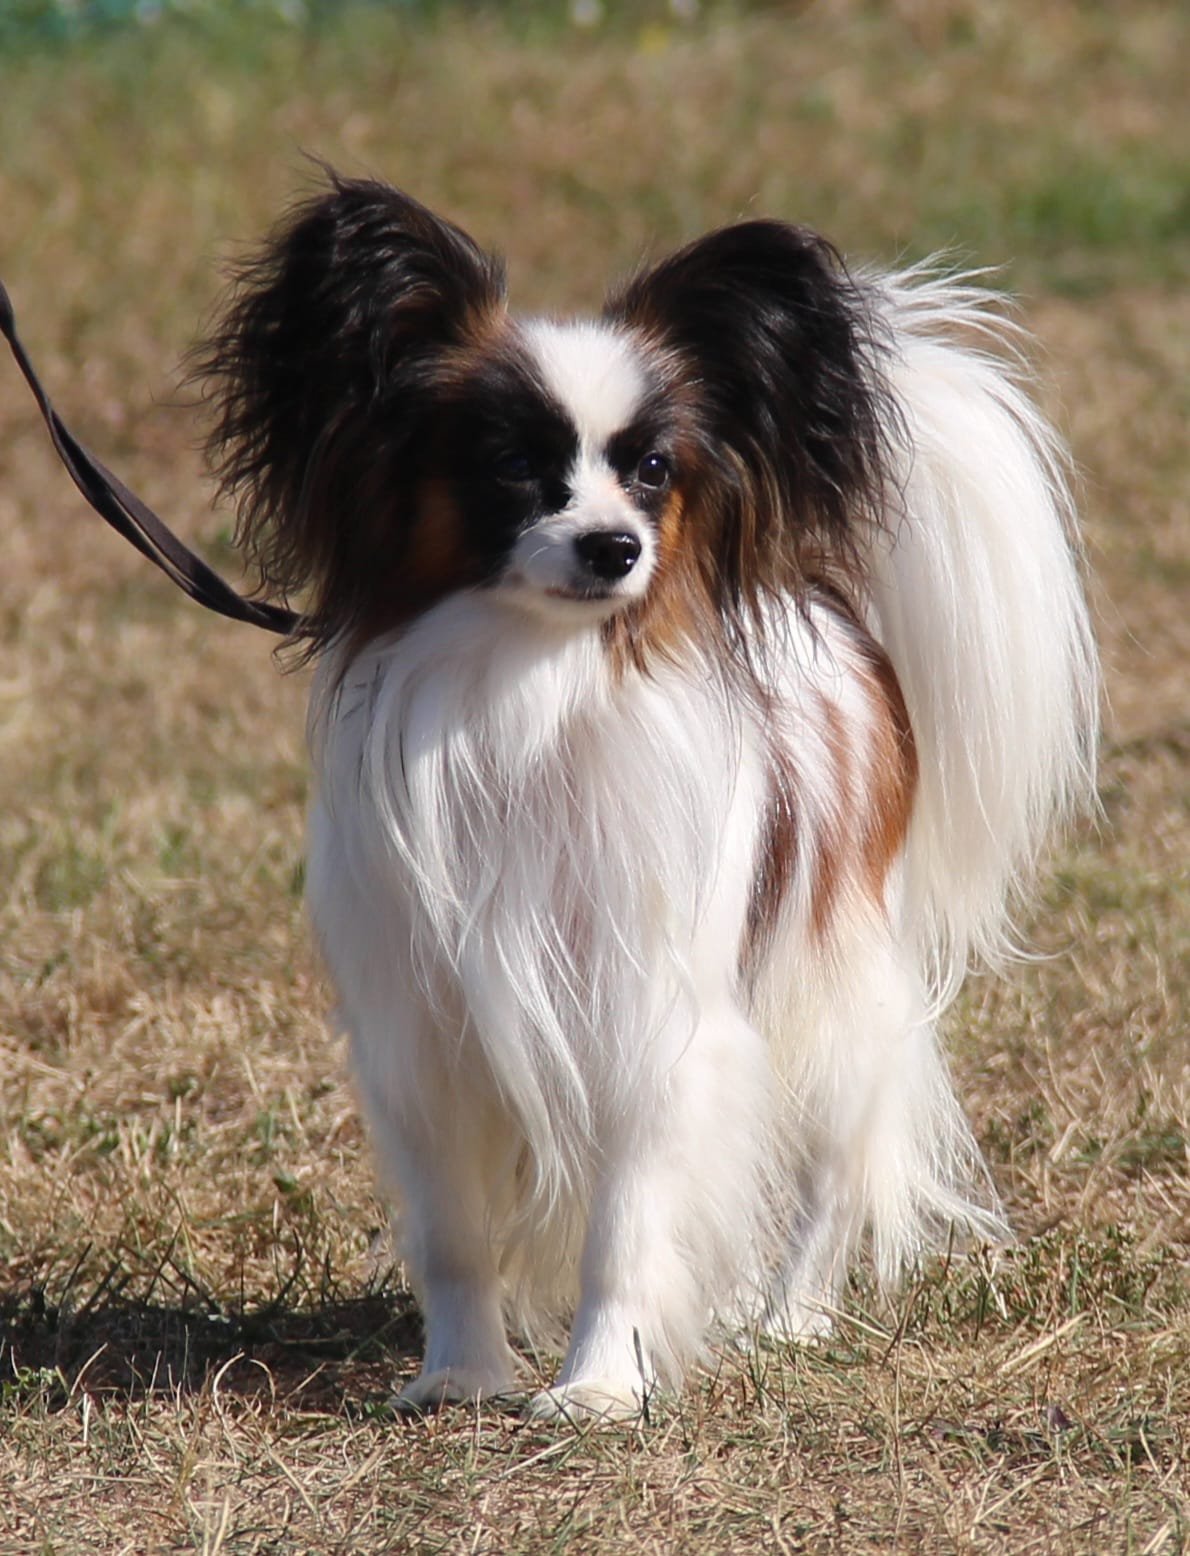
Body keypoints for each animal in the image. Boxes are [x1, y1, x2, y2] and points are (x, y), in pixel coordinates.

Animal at [196, 175, 1097, 1420]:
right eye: (511, 465)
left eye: (654, 469)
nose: (614, 545)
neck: (531, 686)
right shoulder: (421, 1031)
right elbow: (452, 1232)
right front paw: (460, 1376)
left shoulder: (652, 1016)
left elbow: (625, 1226)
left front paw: (597, 1386)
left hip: (833, 986)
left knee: (833, 1167)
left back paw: (790, 1319)